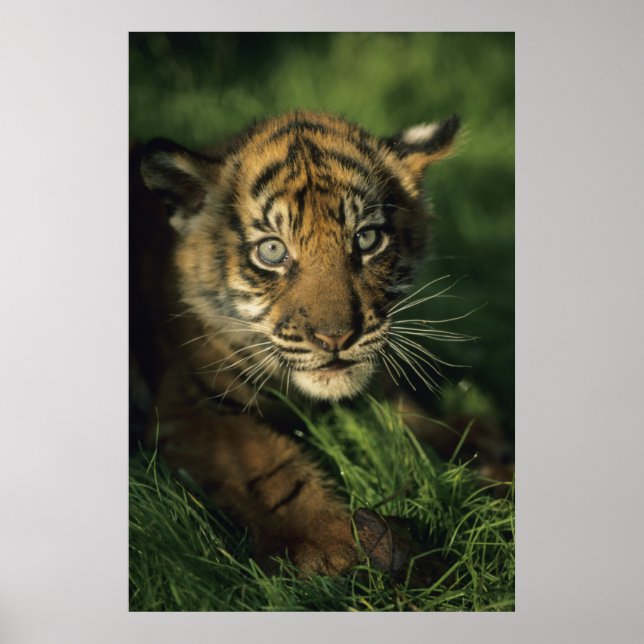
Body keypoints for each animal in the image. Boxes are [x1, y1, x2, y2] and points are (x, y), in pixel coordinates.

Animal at [130, 110, 461, 576]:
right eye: (272, 251)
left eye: (366, 239)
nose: (335, 337)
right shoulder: (187, 407)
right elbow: (270, 467)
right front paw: (331, 547)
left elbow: (422, 417)